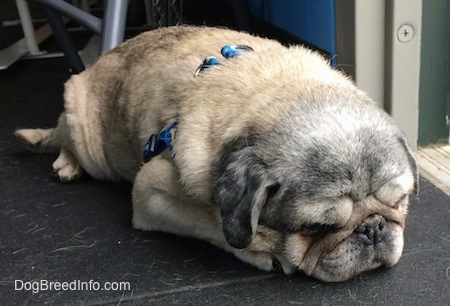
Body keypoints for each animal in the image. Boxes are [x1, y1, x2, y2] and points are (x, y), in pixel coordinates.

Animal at [16, 26, 418, 282]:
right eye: (317, 228)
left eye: (399, 203)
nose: (373, 228)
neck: (276, 93)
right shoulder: (149, 194)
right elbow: (217, 225)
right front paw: (264, 249)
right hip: (86, 136)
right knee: (64, 138)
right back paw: (65, 163)